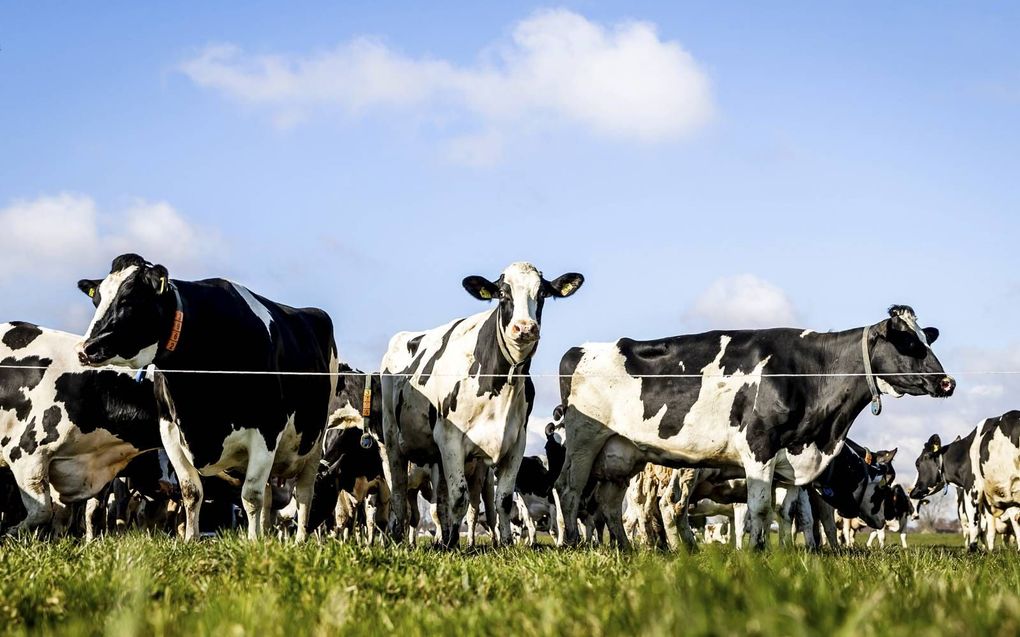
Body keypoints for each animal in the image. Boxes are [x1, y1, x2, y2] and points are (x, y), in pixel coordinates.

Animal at [77, 253, 338, 542]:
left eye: (129, 298)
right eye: (97, 299)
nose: (86, 349)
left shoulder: (267, 429)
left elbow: (251, 497)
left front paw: (252, 542)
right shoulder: (169, 430)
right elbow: (192, 492)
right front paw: (190, 539)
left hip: (315, 441)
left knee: (303, 494)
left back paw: (299, 539)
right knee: (270, 495)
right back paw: (265, 535)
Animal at [379, 262, 583, 546]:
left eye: (541, 293)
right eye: (502, 294)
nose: (524, 328)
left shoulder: (515, 443)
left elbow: (503, 500)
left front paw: (506, 543)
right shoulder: (450, 437)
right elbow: (459, 498)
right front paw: (452, 544)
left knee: (440, 500)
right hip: (392, 437)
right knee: (399, 490)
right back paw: (399, 537)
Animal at [554, 305, 950, 550]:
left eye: (926, 339)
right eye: (909, 342)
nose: (947, 382)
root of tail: (580, 350)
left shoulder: (792, 459)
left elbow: (785, 513)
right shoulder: (759, 446)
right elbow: (761, 509)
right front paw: (758, 553)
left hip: (621, 455)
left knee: (610, 504)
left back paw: (626, 549)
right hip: (585, 441)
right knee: (570, 489)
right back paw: (573, 543)